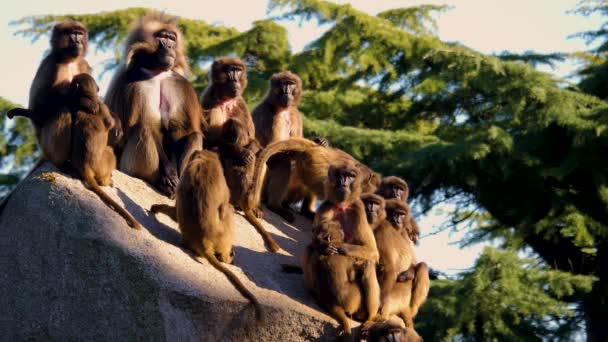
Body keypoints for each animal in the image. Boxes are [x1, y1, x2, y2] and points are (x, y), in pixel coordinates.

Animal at [70, 74, 142, 230]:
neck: (89, 96)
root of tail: (85, 166)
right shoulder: (103, 107)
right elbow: (110, 123)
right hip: (102, 163)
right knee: (110, 152)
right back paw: (106, 180)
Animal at [150, 150, 264, 324]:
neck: (205, 160)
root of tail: (204, 241)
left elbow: (176, 212)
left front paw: (157, 208)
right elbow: (224, 206)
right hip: (222, 234)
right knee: (228, 210)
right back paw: (226, 257)